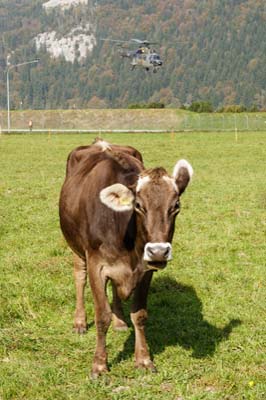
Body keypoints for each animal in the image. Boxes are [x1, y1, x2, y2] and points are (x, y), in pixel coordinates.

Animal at [59, 138, 193, 378]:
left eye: (176, 206)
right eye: (138, 206)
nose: (158, 251)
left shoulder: (145, 270)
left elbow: (140, 314)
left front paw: (144, 359)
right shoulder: (96, 265)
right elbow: (101, 316)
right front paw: (99, 365)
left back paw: (119, 320)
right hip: (76, 248)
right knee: (79, 278)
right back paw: (79, 322)